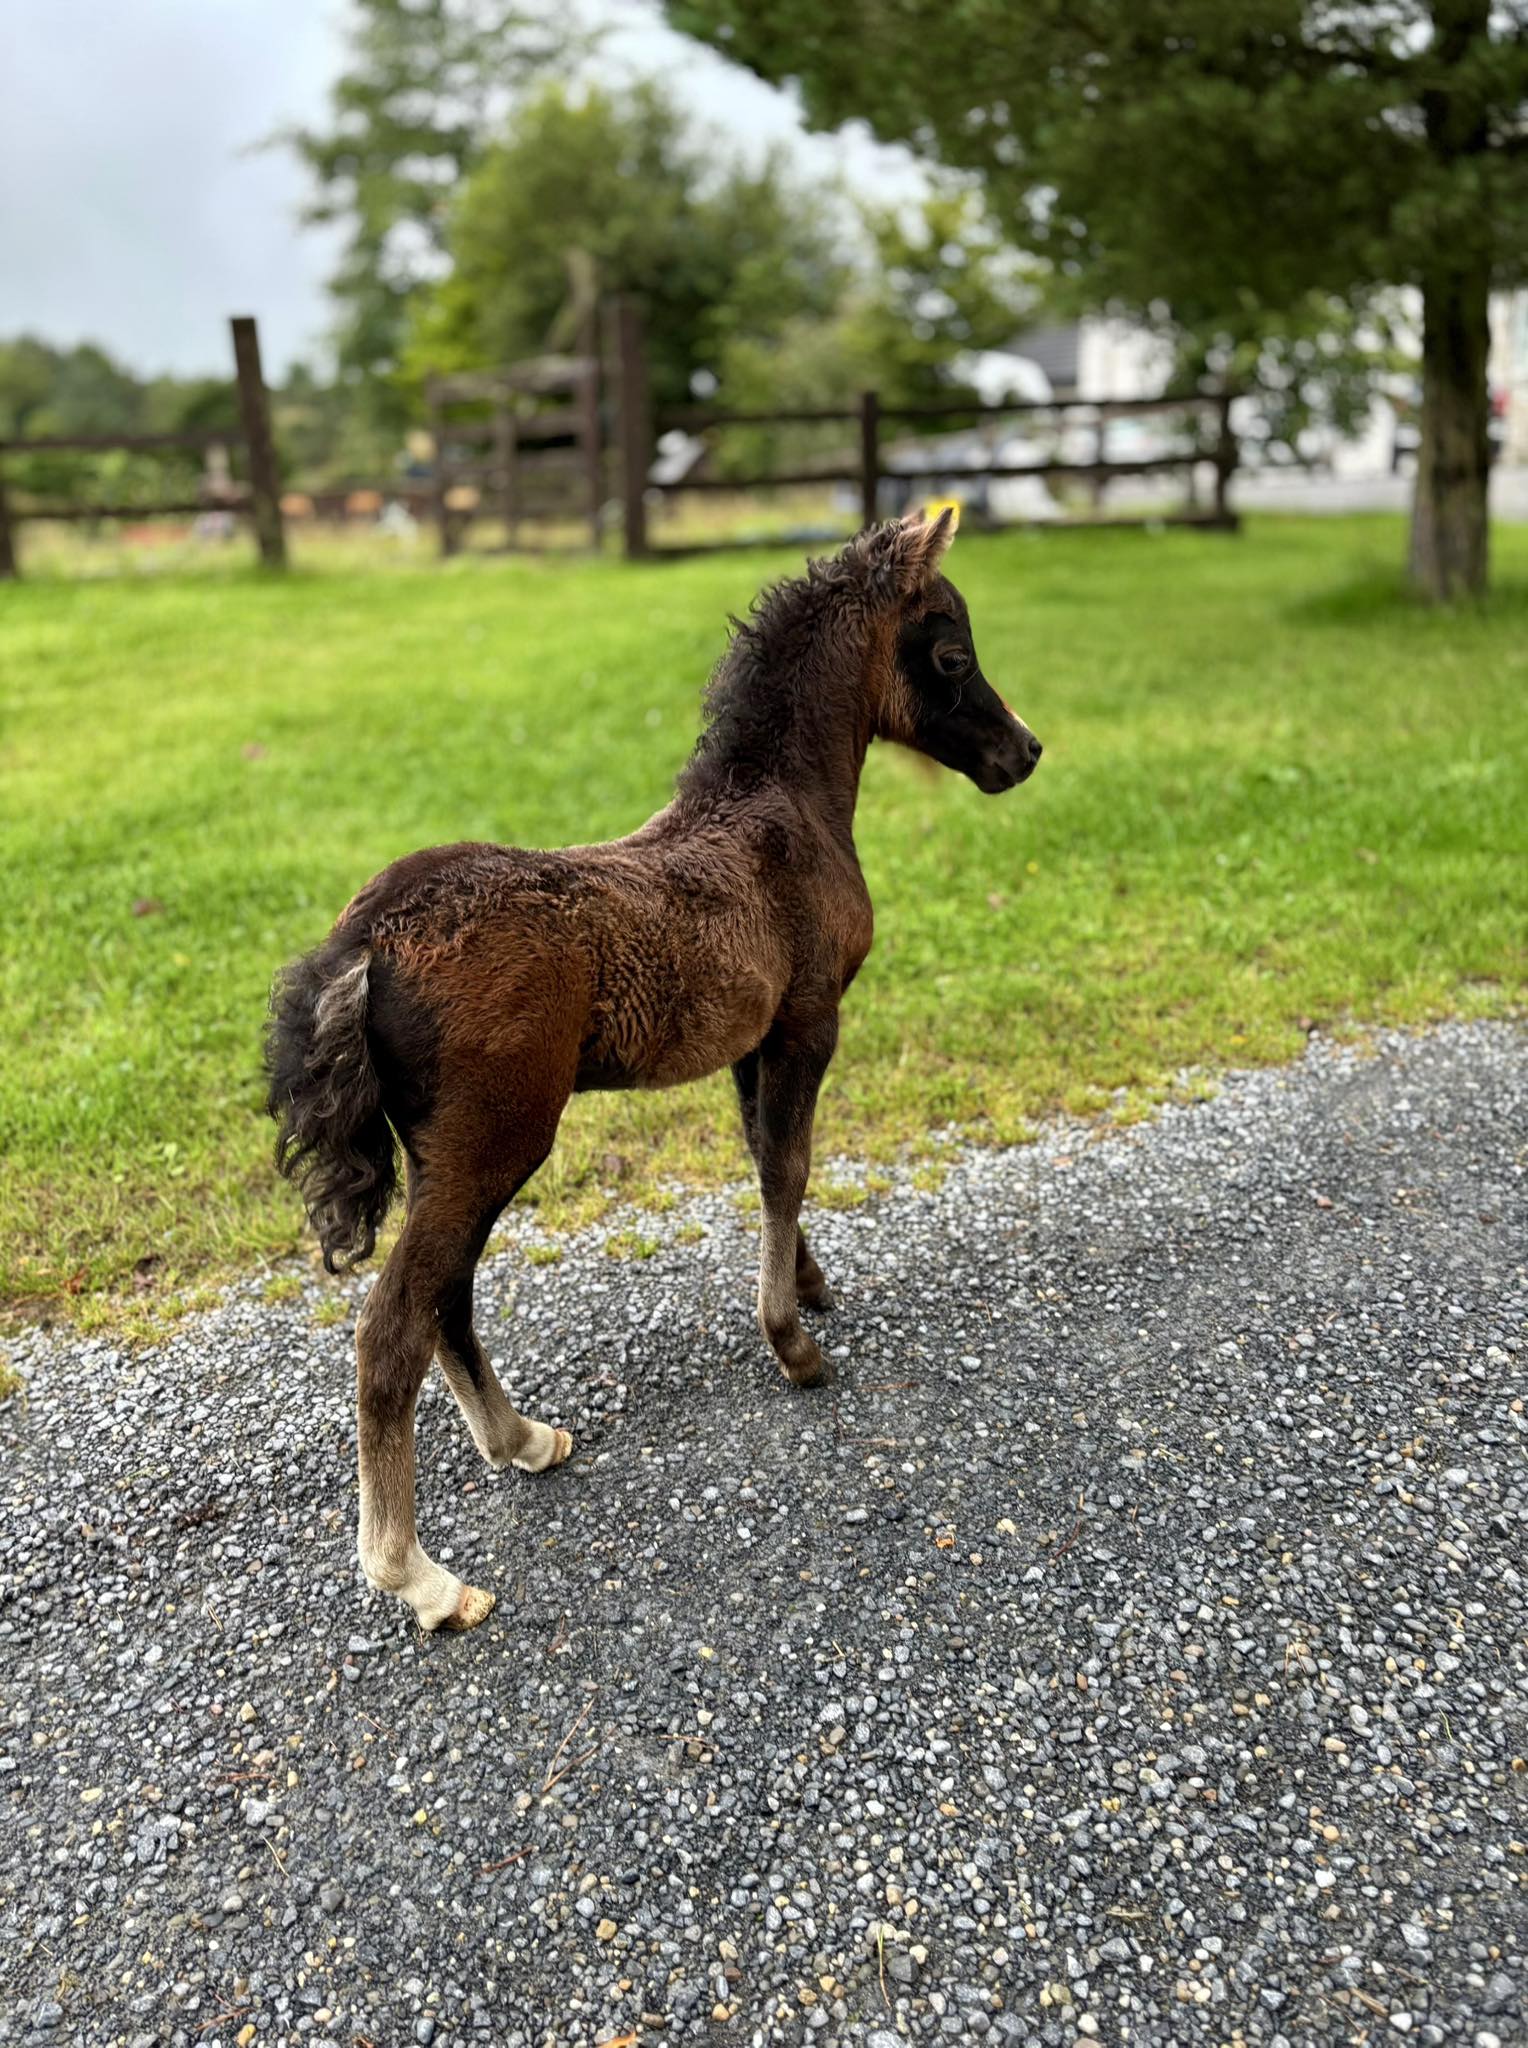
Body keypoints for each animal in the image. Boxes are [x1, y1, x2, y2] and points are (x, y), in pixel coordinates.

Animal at [265, 509, 1042, 1631]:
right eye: (950, 653)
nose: (1024, 750)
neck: (782, 813)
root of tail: (369, 938)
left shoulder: (750, 1042)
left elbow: (766, 1157)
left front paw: (810, 1286)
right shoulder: (811, 1019)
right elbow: (788, 1167)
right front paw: (793, 1346)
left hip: (450, 1150)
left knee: (447, 1295)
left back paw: (522, 1439)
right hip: (495, 1138)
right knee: (393, 1325)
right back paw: (420, 1574)